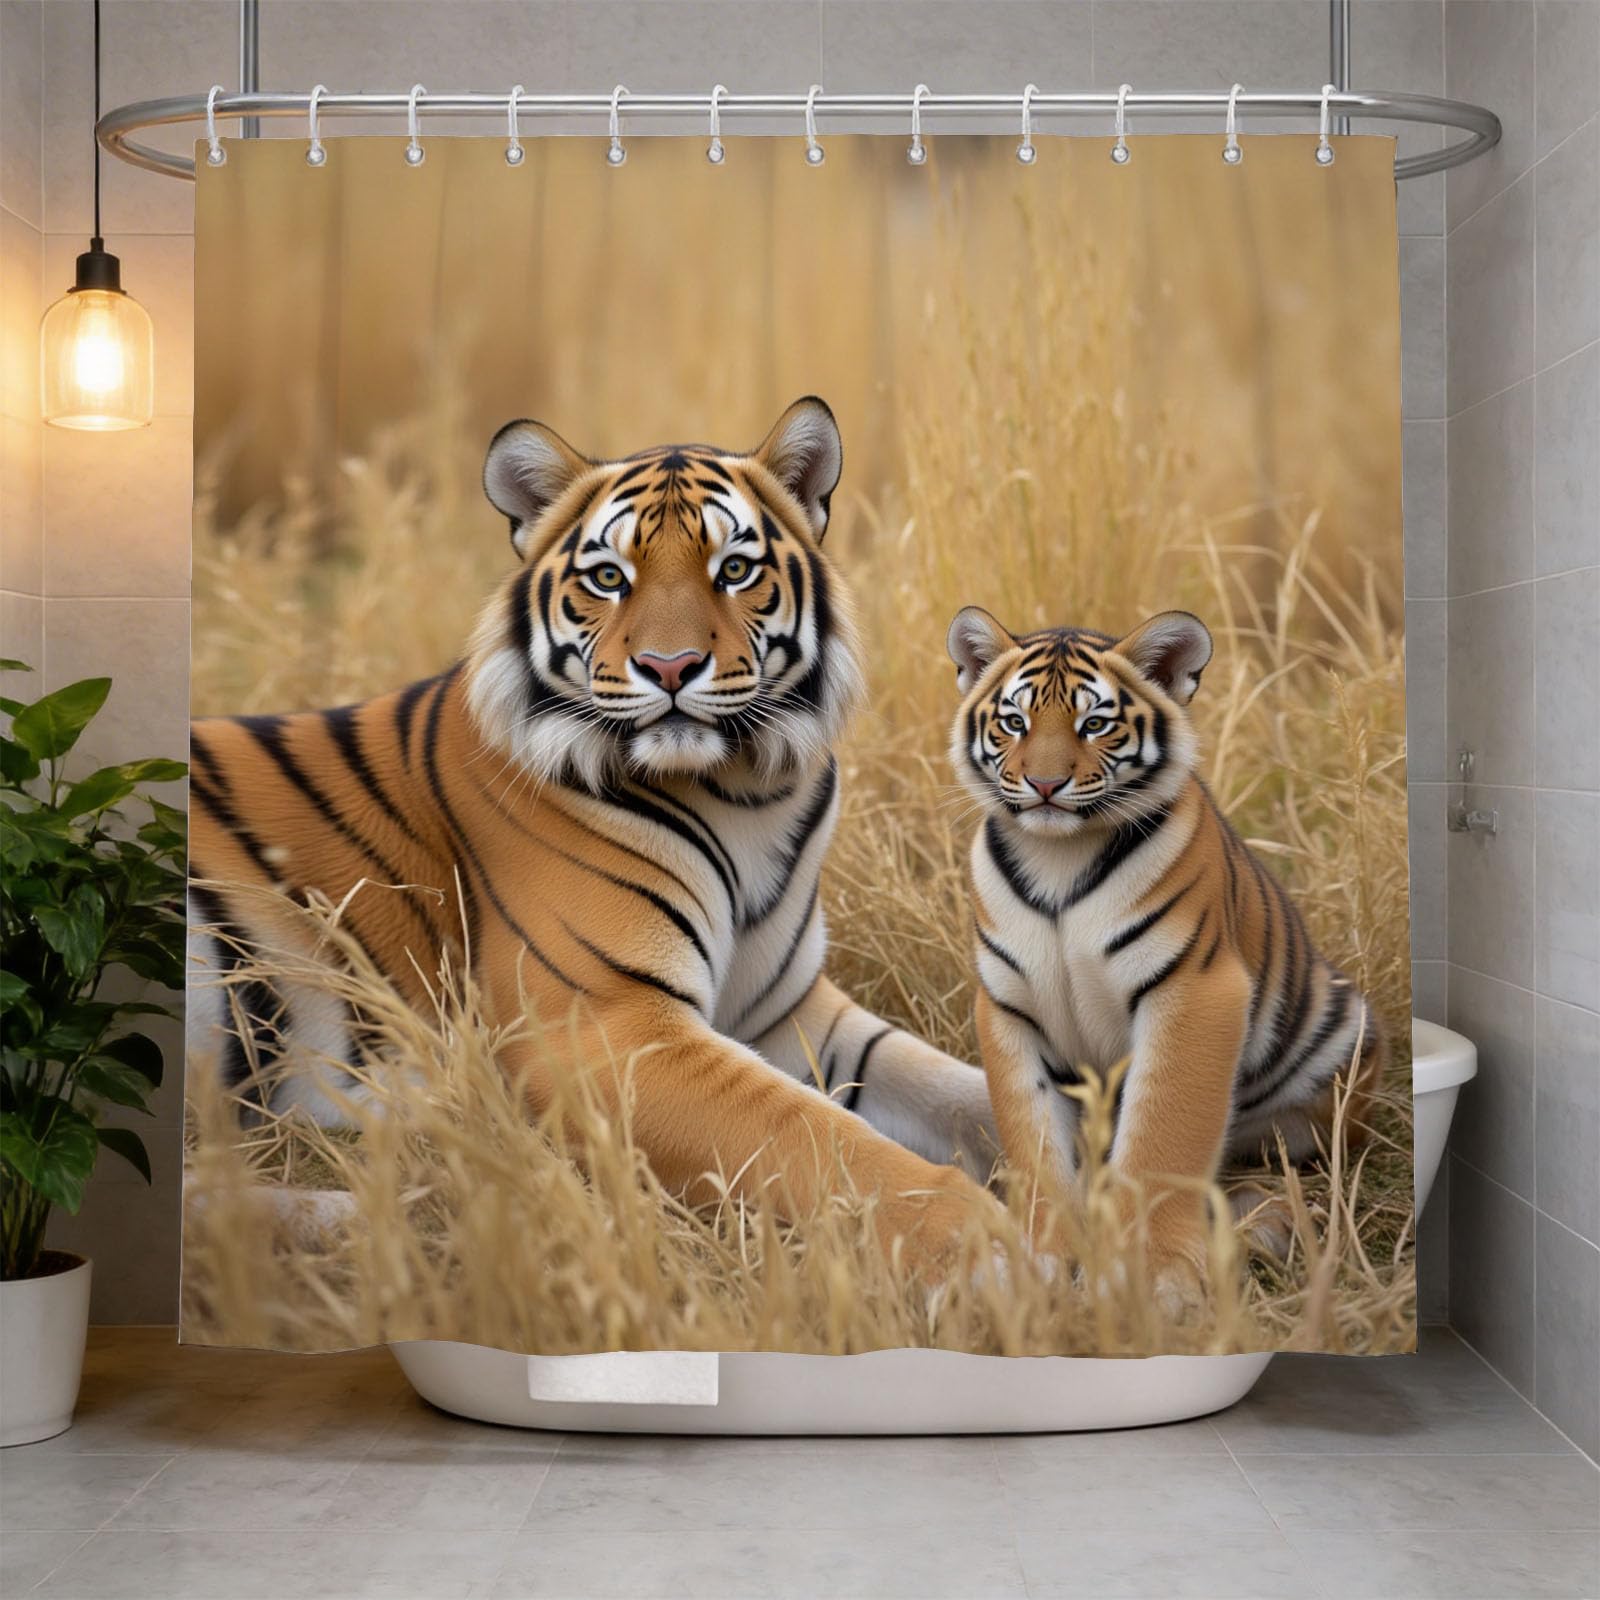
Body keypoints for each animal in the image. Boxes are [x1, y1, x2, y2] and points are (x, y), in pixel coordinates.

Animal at [187, 399, 999, 1277]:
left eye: (734, 570)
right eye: (609, 578)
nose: (671, 666)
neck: (748, 794)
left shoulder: (785, 1012)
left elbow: (959, 1089)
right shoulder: (604, 1029)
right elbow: (820, 1139)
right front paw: (998, 1247)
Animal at [945, 604, 1383, 1306]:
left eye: (1094, 724)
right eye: (1014, 722)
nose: (1044, 784)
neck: (1056, 856)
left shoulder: (1195, 989)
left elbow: (1164, 1138)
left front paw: (1150, 1280)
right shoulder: (1008, 1008)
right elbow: (1036, 1145)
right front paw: (1039, 1262)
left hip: (1333, 1058)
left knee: (1288, 1164)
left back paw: (1268, 1225)